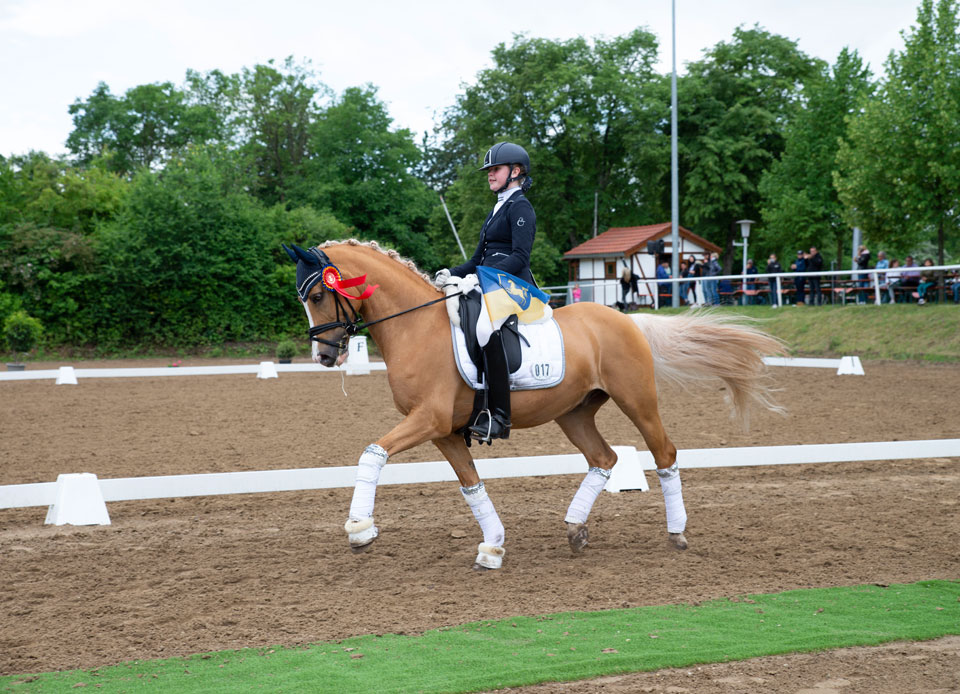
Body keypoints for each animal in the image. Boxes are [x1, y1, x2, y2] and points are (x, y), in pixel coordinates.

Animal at [288, 239, 784, 572]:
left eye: (318, 295)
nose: (324, 356)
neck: (417, 327)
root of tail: (628, 319)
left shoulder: (427, 419)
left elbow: (372, 454)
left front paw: (360, 530)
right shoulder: (444, 431)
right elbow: (471, 486)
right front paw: (492, 547)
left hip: (638, 400)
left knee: (664, 453)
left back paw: (676, 534)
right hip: (574, 412)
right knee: (604, 458)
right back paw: (576, 530)